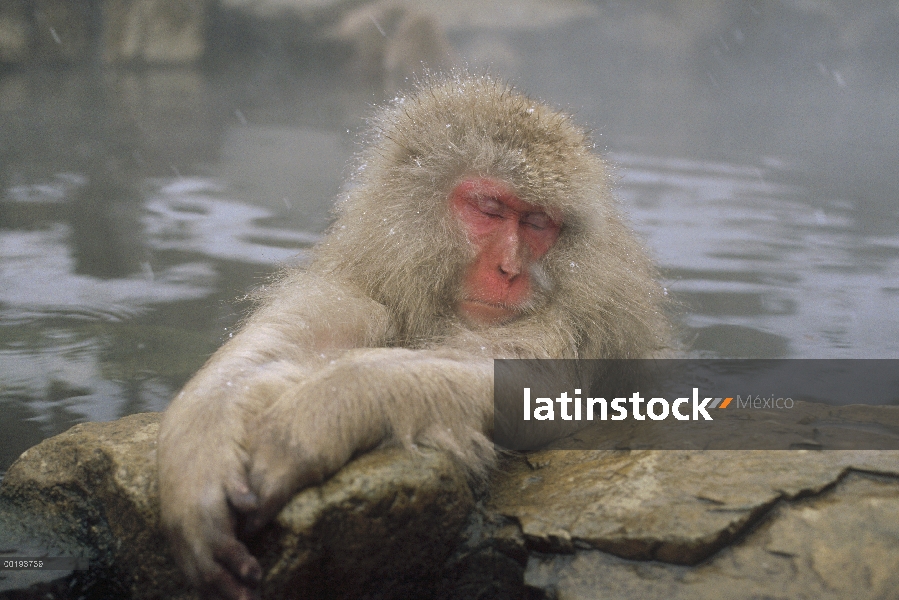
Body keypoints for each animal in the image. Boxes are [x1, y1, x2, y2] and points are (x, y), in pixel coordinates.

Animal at [158, 74, 672, 600]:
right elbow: (275, 357)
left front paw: (311, 418)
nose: (510, 270)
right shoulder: (367, 287)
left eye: (536, 223)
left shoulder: (570, 319)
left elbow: (533, 388)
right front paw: (198, 466)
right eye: (489, 209)